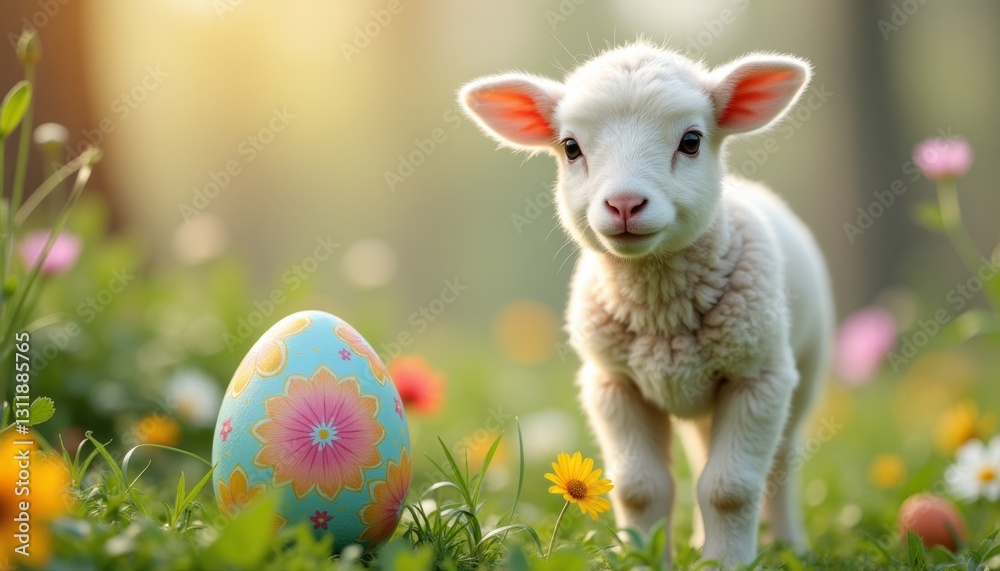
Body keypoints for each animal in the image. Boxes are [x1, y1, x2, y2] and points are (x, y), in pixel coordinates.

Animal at [459, 40, 834, 567]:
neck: (661, 312)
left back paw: (787, 543)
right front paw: (644, 556)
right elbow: (640, 487)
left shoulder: (758, 378)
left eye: (692, 140)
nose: (624, 204)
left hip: (803, 369)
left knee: (781, 464)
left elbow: (731, 488)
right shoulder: (613, 384)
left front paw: (728, 563)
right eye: (571, 147)